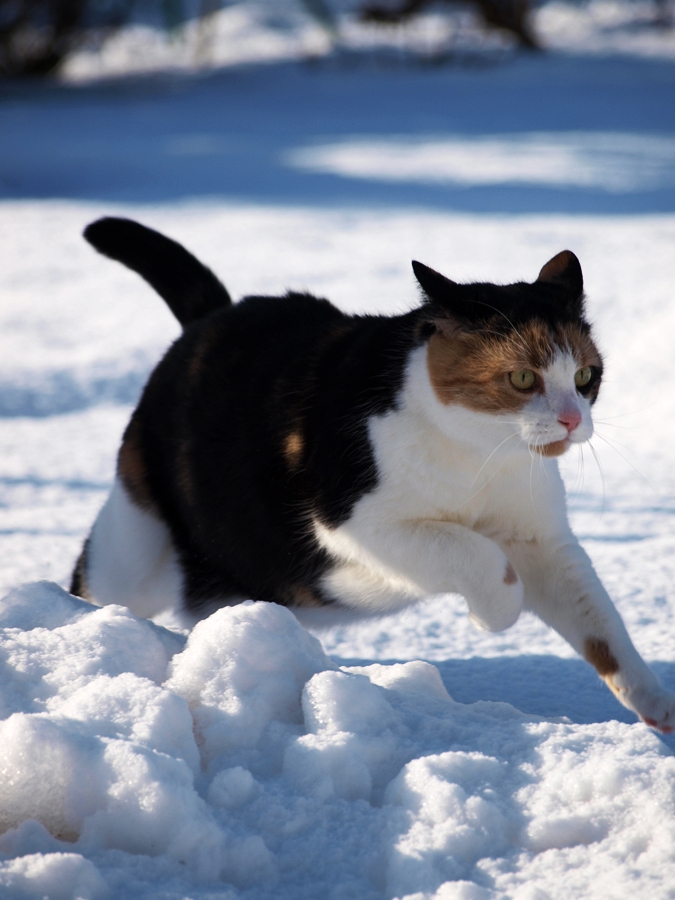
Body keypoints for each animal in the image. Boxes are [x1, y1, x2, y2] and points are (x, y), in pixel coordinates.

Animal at [71, 216, 675, 732]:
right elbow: (482, 559)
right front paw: (492, 618)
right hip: (130, 550)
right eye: (524, 378)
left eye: (586, 376)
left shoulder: (543, 541)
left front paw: (657, 706)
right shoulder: (354, 522)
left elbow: (601, 625)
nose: (573, 419)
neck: (478, 455)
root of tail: (210, 319)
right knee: (94, 588)